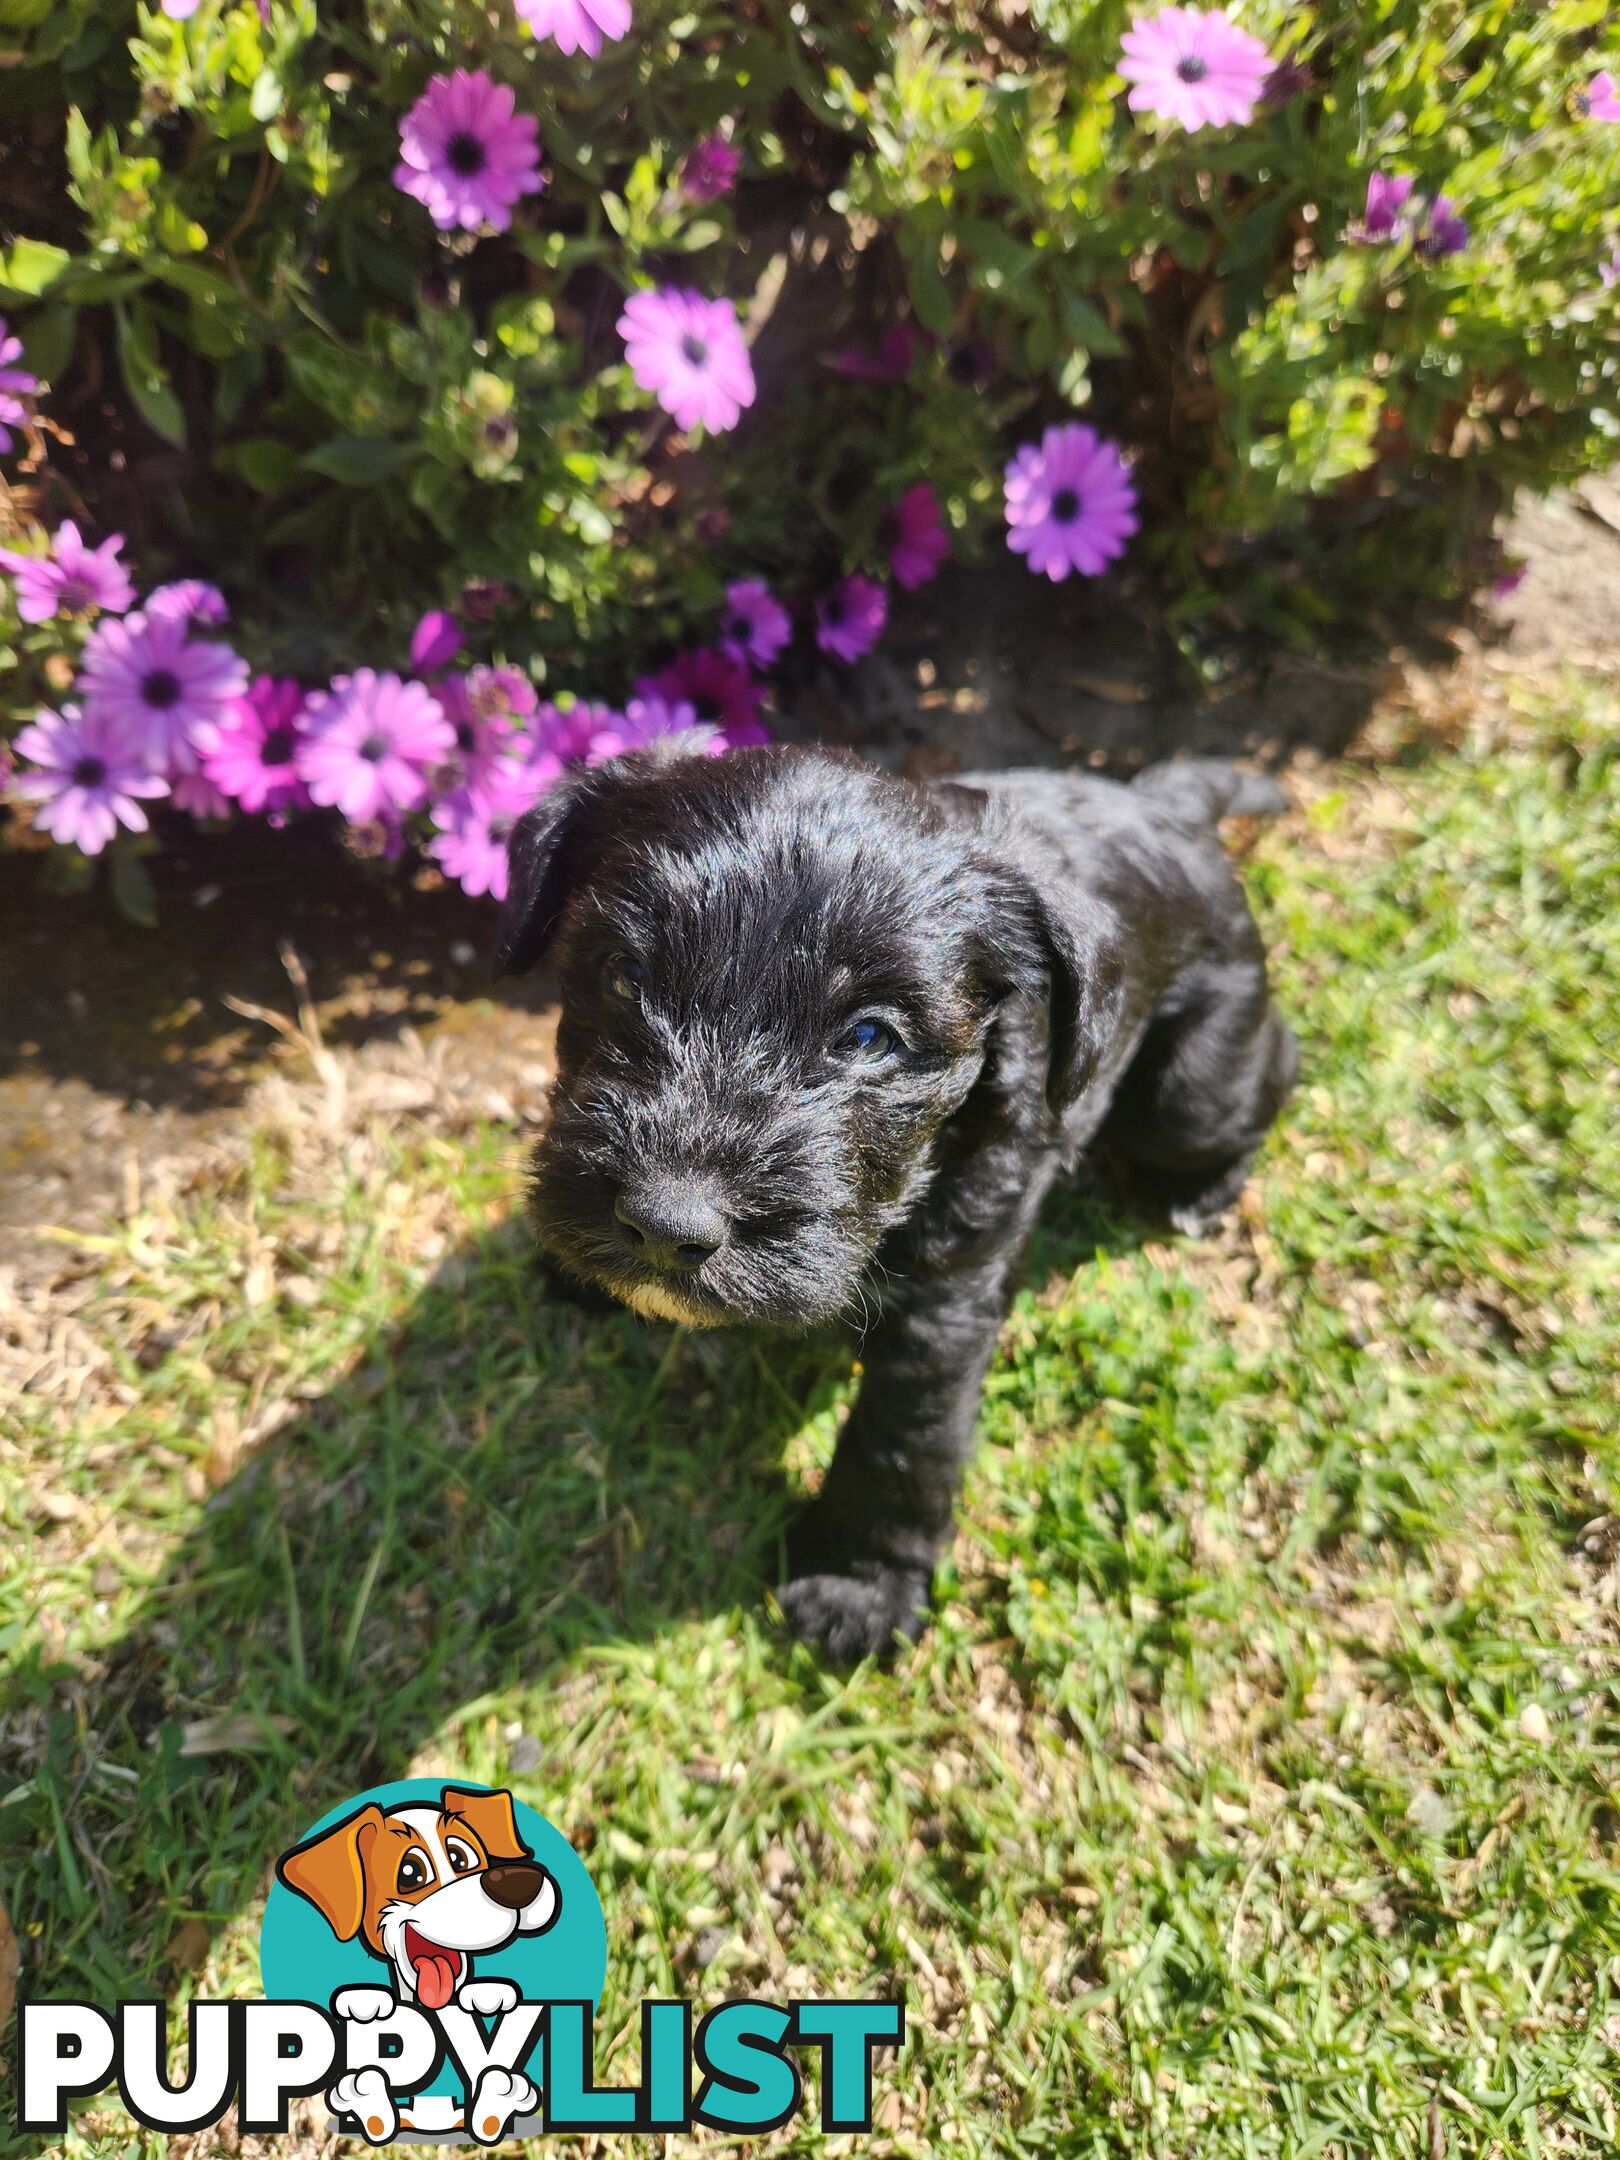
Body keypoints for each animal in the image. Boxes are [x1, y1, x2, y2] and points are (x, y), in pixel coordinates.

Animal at [494, 738, 1296, 1650]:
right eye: (625, 977)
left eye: (871, 1037)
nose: (666, 1225)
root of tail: (1171, 806)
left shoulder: (944, 1306)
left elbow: (901, 1447)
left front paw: (857, 1588)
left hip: (1187, 1093)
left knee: (1271, 1067)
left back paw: (1201, 1193)